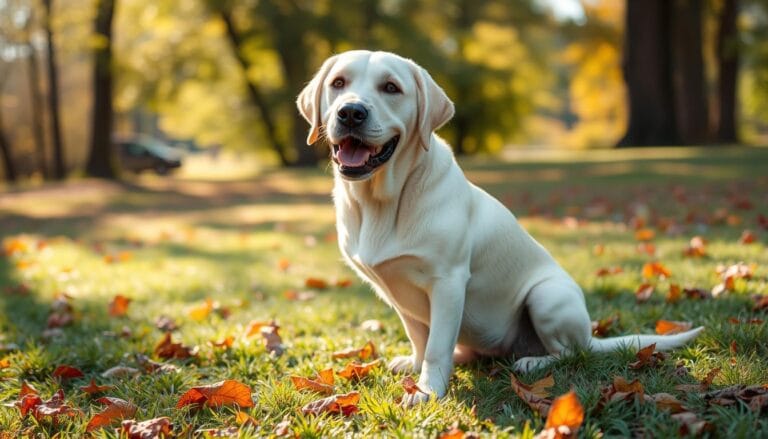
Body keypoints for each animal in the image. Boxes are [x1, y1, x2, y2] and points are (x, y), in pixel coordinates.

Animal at [296, 50, 704, 406]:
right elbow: (421, 339)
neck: (382, 201)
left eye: (391, 88)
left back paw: (533, 361)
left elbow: (436, 346)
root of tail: (592, 335)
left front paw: (427, 390)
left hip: (547, 296)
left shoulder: (448, 282)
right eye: (338, 83)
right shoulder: (396, 293)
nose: (351, 112)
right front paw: (415, 365)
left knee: (571, 353)